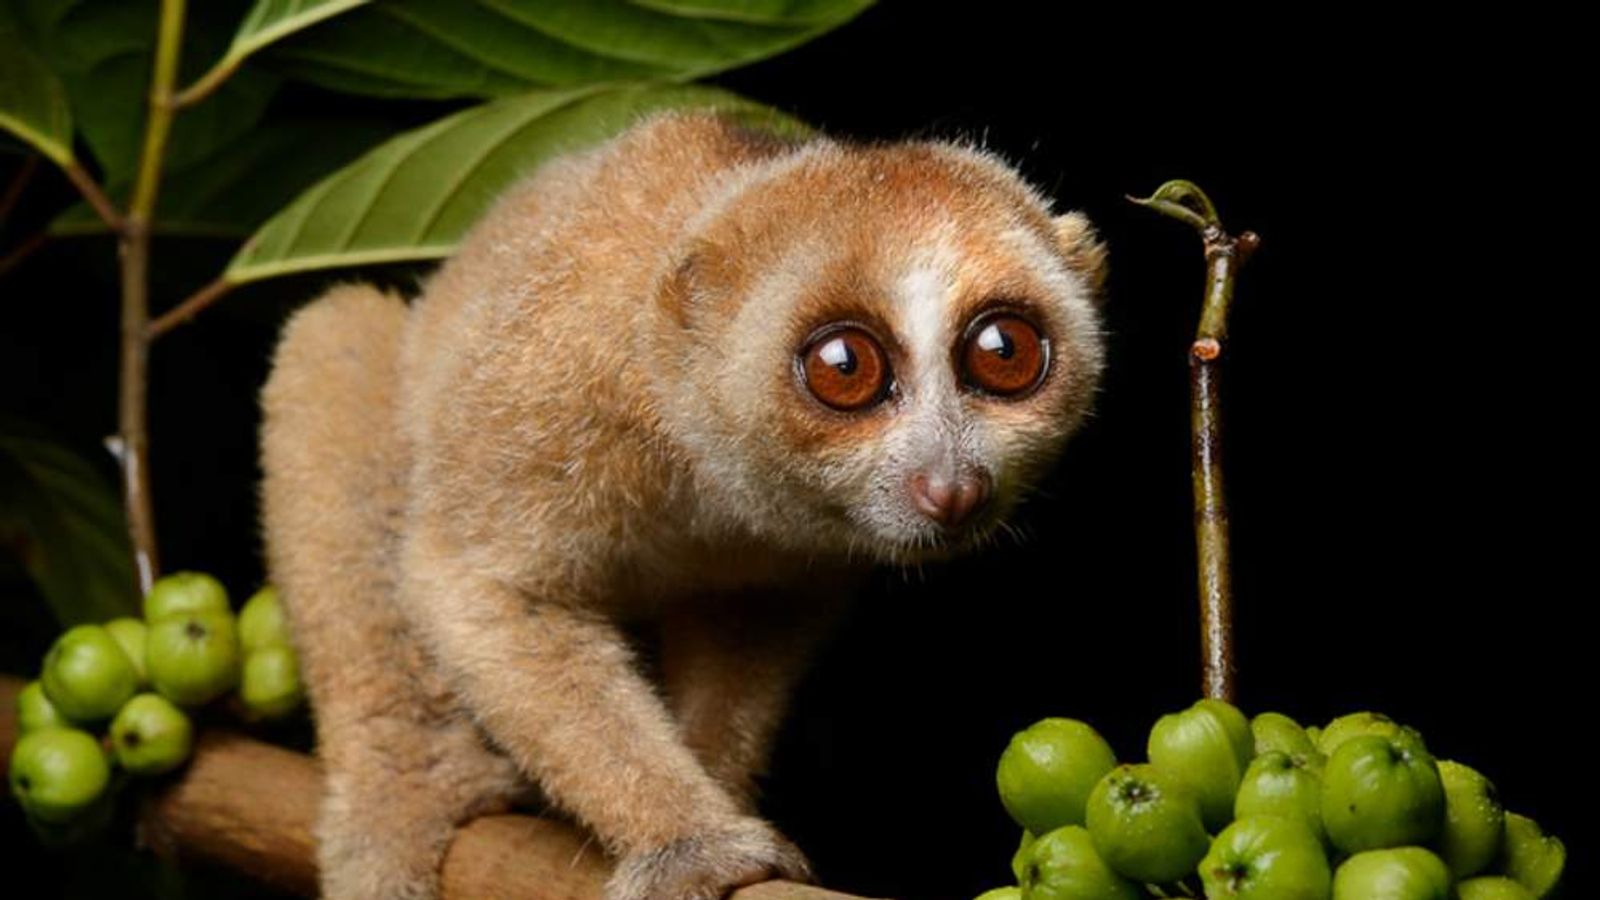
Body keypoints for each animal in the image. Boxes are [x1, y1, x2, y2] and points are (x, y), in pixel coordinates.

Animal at [259, 110, 1108, 900]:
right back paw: (405, 788)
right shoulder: (556, 385)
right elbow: (483, 588)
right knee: (334, 336)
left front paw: (708, 794)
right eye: (845, 368)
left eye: (1005, 353)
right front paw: (686, 840)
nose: (952, 484)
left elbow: (748, 617)